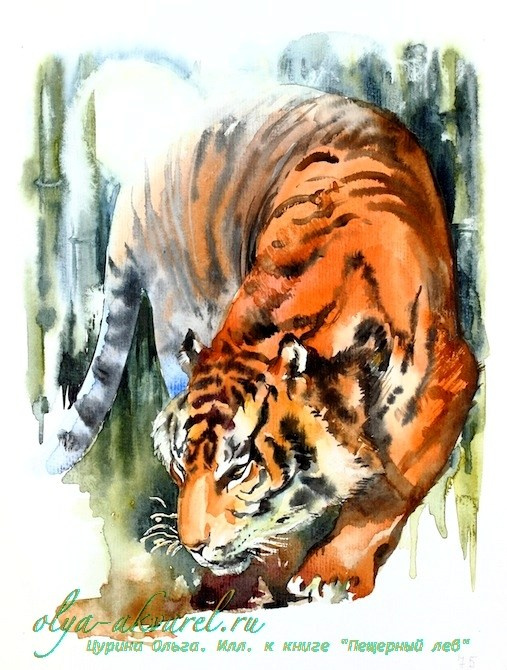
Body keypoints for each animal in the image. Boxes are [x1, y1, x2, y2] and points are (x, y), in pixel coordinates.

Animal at [47, 84, 478, 601]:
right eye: (180, 465)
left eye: (236, 470)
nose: (192, 546)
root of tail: (132, 194)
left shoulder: (446, 380)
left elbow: (387, 490)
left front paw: (329, 572)